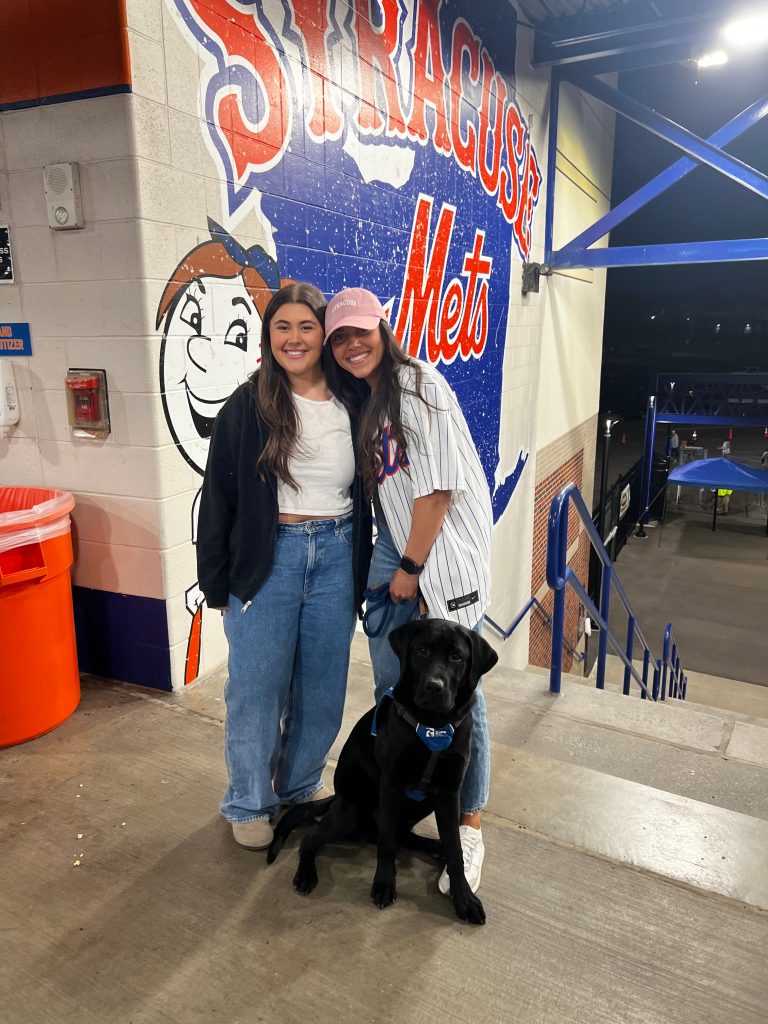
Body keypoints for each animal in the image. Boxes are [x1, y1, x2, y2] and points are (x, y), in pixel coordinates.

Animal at [270, 618, 499, 925]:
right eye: (422, 650)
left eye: (457, 657)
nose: (434, 687)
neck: (432, 724)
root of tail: (336, 799)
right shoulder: (391, 786)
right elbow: (386, 843)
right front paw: (384, 885)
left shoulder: (449, 793)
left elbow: (456, 850)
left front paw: (464, 899)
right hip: (350, 811)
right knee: (311, 840)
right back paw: (306, 875)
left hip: (425, 802)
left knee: (402, 834)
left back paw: (432, 845)